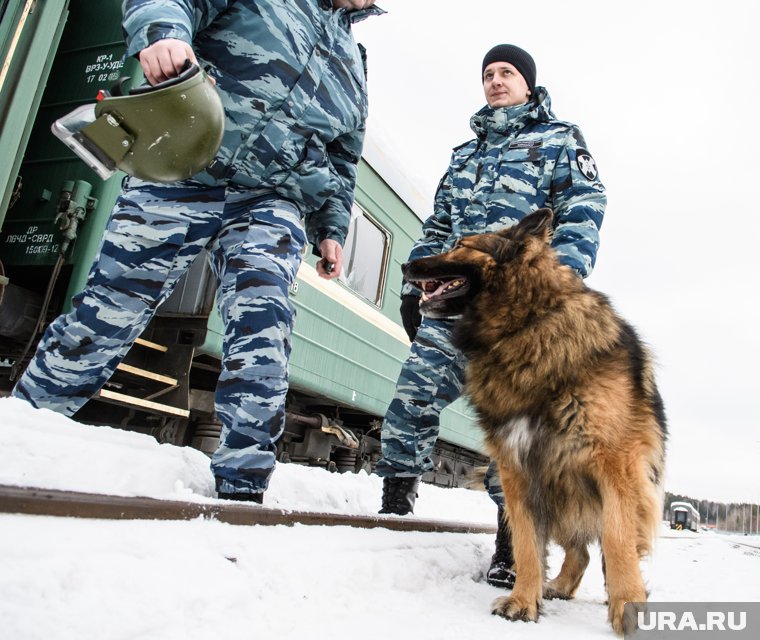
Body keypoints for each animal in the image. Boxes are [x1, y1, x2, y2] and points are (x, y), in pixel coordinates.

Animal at [404, 210, 664, 636]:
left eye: (461, 245)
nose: (407, 265)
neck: (524, 325)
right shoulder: (517, 469)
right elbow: (526, 543)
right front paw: (523, 601)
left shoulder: (616, 466)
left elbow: (617, 539)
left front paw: (628, 606)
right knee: (579, 552)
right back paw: (557, 586)